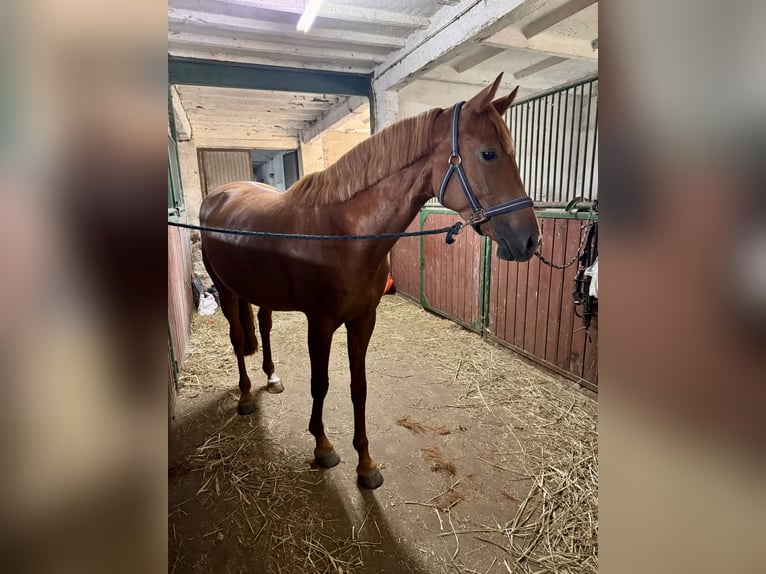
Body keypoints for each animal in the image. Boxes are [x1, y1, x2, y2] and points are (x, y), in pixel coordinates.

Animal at [201, 75, 544, 490]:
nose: (530, 240)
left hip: (259, 292)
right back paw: (246, 397)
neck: (344, 233)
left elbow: (358, 387)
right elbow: (321, 384)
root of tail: (222, 194)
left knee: (263, 326)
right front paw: (323, 446)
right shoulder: (320, 324)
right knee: (238, 338)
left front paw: (365, 464)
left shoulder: (363, 320)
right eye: (489, 154)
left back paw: (271, 377)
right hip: (225, 289)